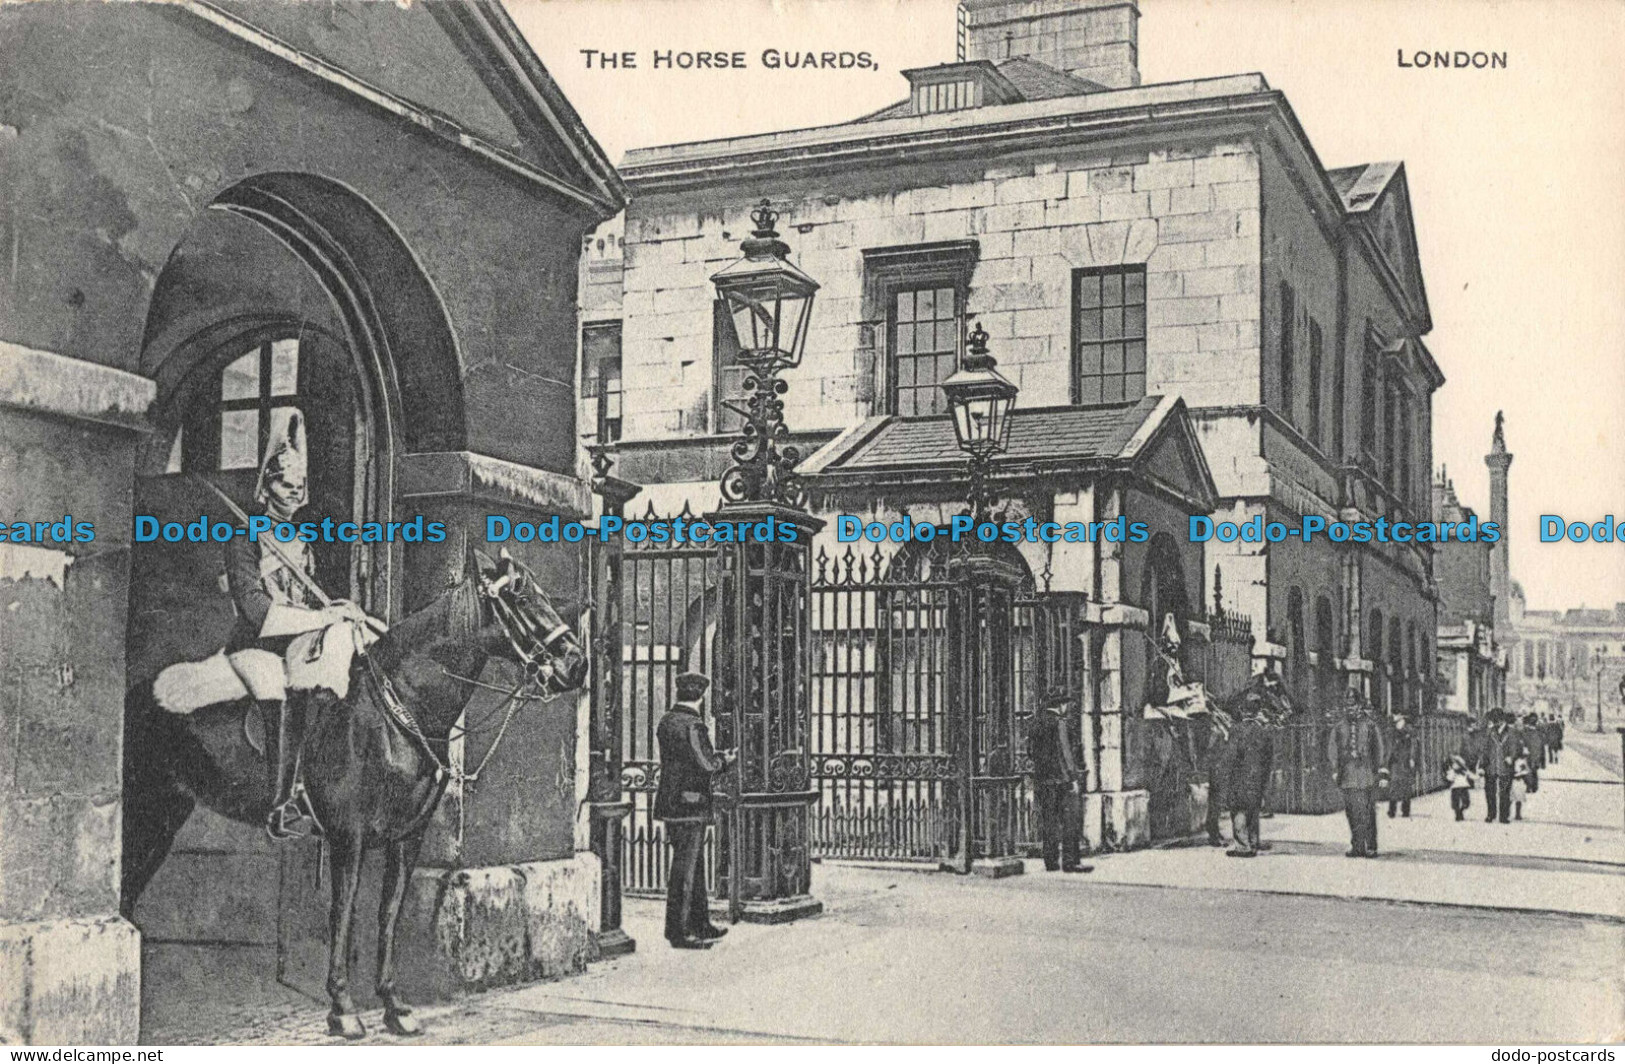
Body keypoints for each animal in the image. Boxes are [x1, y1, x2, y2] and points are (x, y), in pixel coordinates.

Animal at [120, 549, 591, 1039]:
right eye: (519, 596)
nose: (577, 663)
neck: (397, 708)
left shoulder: (407, 838)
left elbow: (388, 913)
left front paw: (394, 1005)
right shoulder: (349, 837)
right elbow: (342, 913)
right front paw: (343, 1008)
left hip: (165, 819)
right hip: (141, 814)